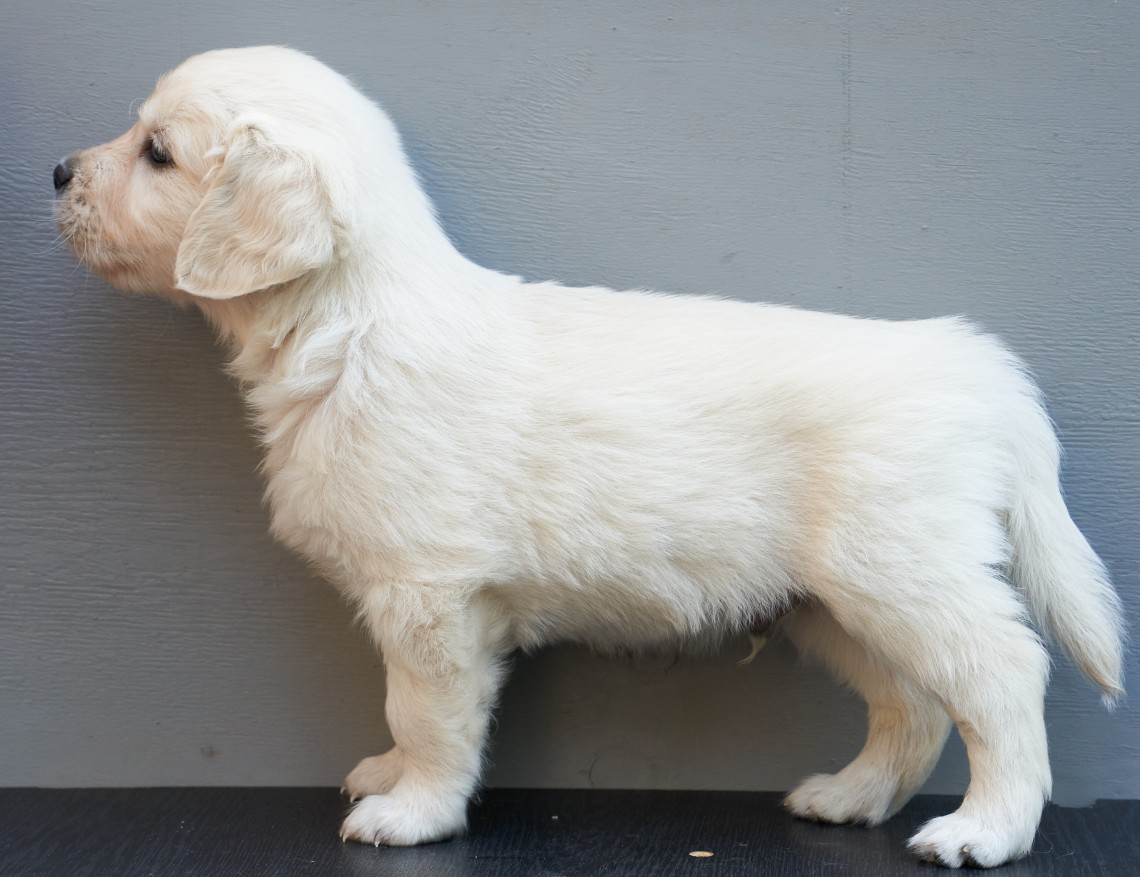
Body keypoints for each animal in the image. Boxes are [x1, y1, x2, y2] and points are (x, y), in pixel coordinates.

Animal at [54, 46, 1123, 867]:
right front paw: (393, 778)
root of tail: (976, 367)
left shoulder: (430, 596)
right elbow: (411, 717)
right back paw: (852, 796)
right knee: (915, 703)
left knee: (1001, 675)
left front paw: (413, 810)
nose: (58, 171)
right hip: (836, 603)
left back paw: (985, 830)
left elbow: (423, 711)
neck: (349, 326)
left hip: (905, 571)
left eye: (157, 152)